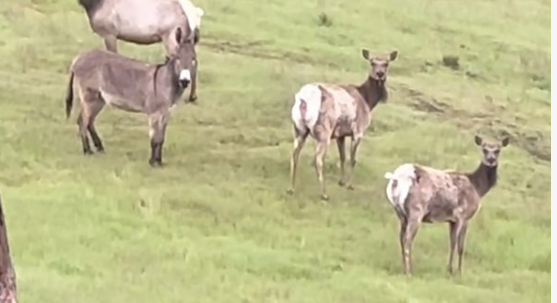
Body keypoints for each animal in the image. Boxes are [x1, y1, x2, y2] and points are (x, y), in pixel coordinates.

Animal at [65, 27, 197, 167]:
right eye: (178, 58)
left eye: (193, 59)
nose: (184, 81)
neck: (166, 80)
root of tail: (77, 58)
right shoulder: (155, 113)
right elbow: (155, 139)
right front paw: (153, 162)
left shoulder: (166, 113)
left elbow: (161, 139)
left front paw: (159, 162)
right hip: (90, 97)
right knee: (82, 121)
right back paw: (88, 151)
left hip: (99, 99)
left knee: (89, 121)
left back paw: (99, 147)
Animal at [75, 0, 203, 102]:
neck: (94, 4)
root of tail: (195, 14)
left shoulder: (109, 33)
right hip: (188, 40)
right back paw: (193, 96)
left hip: (172, 38)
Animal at [286, 48, 396, 201]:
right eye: (372, 62)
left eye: (386, 63)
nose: (380, 74)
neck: (368, 101)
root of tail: (303, 100)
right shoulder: (358, 131)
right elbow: (353, 159)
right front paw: (350, 185)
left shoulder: (340, 134)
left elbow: (342, 157)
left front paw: (342, 181)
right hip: (324, 132)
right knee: (318, 159)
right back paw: (324, 194)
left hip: (299, 129)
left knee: (294, 154)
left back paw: (291, 188)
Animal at [382, 135, 508, 276]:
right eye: (484, 149)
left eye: (498, 150)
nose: (491, 160)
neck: (478, 188)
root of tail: (396, 178)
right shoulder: (463, 216)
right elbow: (459, 246)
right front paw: (457, 271)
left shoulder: (451, 220)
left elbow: (452, 244)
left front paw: (450, 270)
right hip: (416, 210)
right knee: (407, 239)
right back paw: (409, 272)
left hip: (400, 213)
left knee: (401, 238)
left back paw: (404, 269)